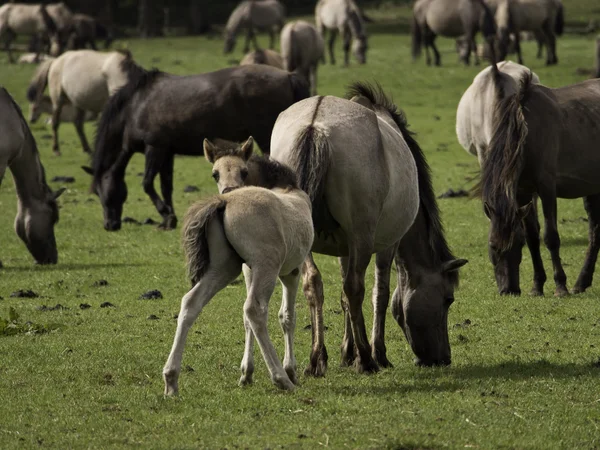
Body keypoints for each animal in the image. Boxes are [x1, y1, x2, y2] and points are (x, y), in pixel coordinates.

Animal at [83, 60, 310, 232]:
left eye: (104, 191)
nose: (109, 225)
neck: (136, 106)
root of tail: (288, 76)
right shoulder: (167, 152)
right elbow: (166, 187)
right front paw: (168, 219)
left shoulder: (154, 148)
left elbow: (147, 183)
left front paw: (165, 214)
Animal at [164, 137, 314, 394]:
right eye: (215, 173)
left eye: (243, 171)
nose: (229, 188)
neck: (285, 188)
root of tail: (224, 202)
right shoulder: (291, 273)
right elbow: (287, 316)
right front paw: (291, 371)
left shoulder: (247, 270)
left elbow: (247, 323)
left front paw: (246, 374)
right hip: (266, 268)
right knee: (254, 310)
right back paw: (281, 378)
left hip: (223, 269)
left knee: (191, 302)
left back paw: (171, 380)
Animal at [478, 63, 600, 298]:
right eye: (493, 246)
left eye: (515, 245)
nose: (508, 290)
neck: (526, 130)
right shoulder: (524, 193)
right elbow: (533, 237)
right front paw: (537, 286)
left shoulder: (547, 188)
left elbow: (550, 237)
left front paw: (560, 286)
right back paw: (581, 282)